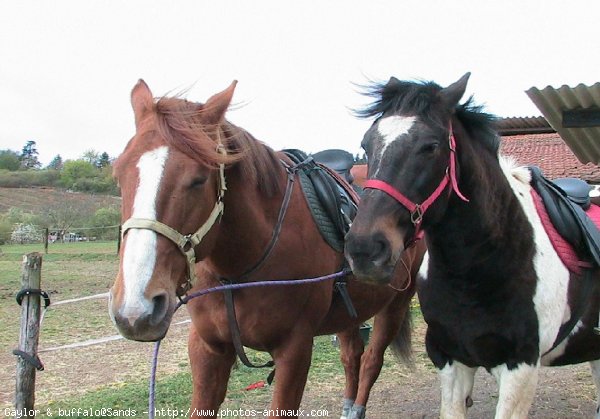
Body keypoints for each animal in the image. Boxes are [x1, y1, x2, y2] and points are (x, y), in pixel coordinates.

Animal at [109, 80, 426, 418]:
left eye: (199, 179)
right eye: (119, 174)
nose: (135, 309)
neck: (237, 270)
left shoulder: (295, 351)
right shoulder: (207, 348)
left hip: (396, 304)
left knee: (371, 361)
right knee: (352, 356)